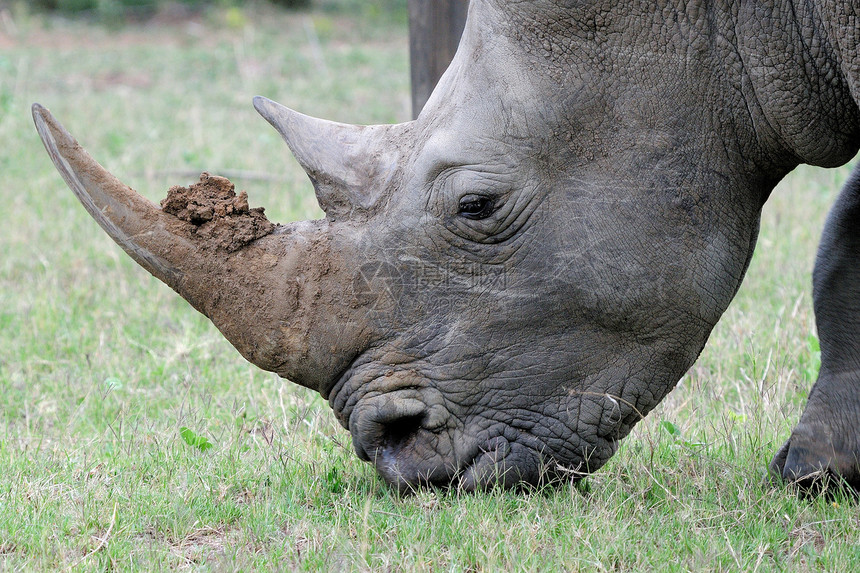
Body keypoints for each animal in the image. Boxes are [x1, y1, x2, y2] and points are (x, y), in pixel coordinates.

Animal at [31, 0, 860, 492]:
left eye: (477, 205)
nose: (393, 455)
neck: (744, 23)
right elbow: (842, 252)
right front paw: (820, 471)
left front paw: (813, 473)